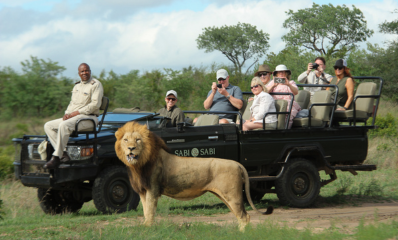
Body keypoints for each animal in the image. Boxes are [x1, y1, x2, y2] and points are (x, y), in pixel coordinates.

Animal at [113, 122, 272, 231]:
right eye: (126, 140)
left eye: (138, 140)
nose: (131, 148)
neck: (139, 164)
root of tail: (238, 164)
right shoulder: (143, 190)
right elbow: (146, 211)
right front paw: (146, 227)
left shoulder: (153, 188)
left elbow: (150, 211)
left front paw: (149, 229)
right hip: (227, 196)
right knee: (241, 216)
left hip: (232, 195)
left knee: (245, 217)